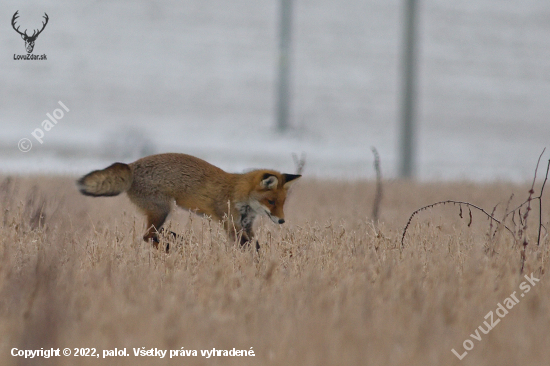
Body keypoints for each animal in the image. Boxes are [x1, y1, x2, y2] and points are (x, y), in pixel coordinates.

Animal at [76, 152, 302, 252]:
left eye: (282, 203)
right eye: (270, 201)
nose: (282, 221)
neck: (238, 194)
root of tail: (132, 165)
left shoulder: (246, 225)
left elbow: (255, 245)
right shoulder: (230, 223)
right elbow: (245, 246)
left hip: (161, 212)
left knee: (153, 234)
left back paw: (174, 239)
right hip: (162, 209)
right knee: (147, 236)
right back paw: (170, 246)